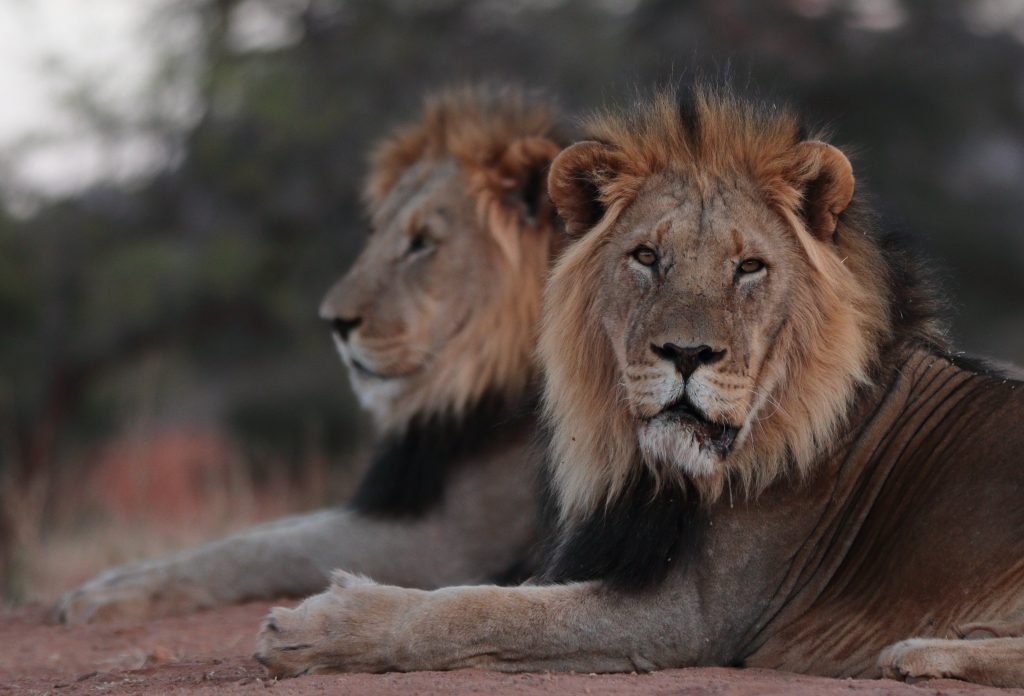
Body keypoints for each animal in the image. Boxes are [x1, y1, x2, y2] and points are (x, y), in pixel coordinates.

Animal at [251, 85, 1024, 683]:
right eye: (647, 257)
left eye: (749, 267)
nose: (687, 353)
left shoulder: (693, 615)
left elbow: (474, 609)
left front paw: (321, 627)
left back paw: (924, 651)